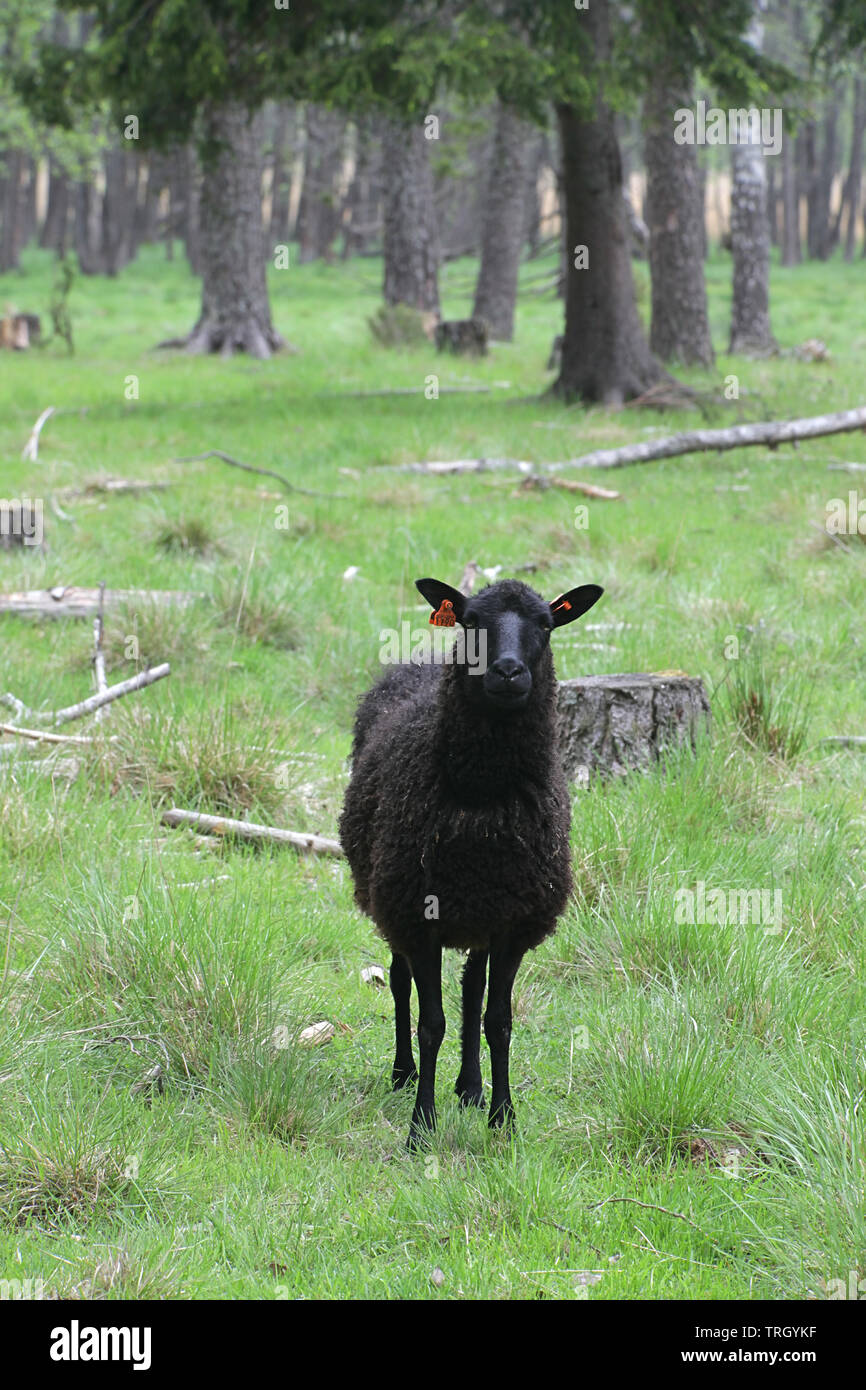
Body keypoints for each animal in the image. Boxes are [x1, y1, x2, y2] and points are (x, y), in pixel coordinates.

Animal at [339, 575, 603, 1149]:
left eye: (546, 625)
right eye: (471, 621)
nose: (507, 671)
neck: (482, 802)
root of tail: (417, 663)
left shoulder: (513, 923)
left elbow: (497, 1019)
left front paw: (502, 1117)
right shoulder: (419, 917)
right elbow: (431, 1023)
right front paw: (421, 1125)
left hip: (481, 912)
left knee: (472, 989)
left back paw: (470, 1087)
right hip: (397, 898)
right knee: (400, 982)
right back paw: (403, 1073)